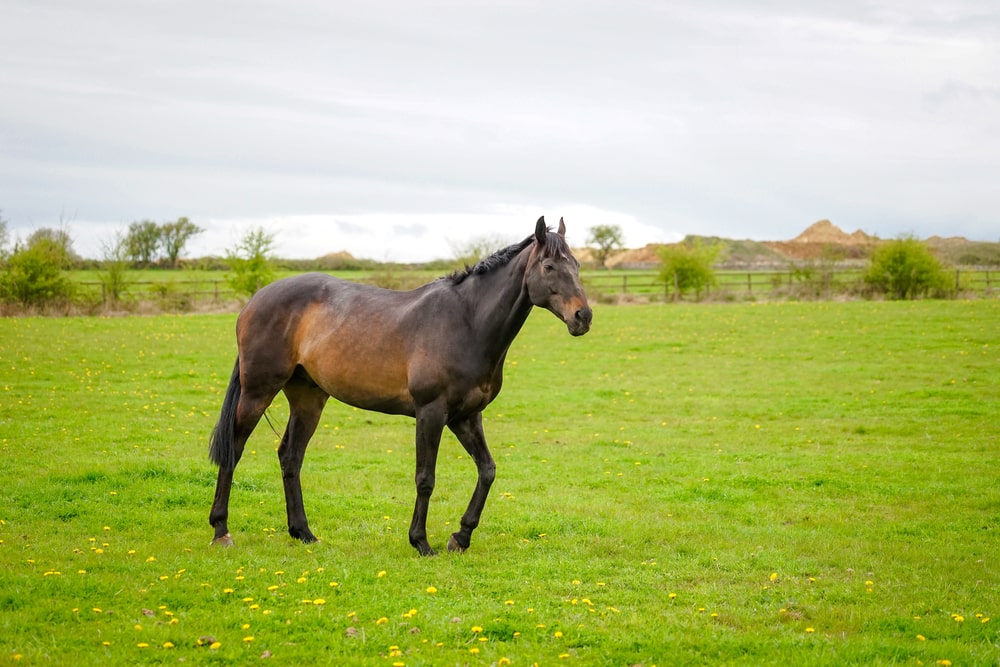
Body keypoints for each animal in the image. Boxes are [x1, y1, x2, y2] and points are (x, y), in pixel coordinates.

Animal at [208, 216, 592, 556]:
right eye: (548, 267)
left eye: (575, 265)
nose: (583, 316)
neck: (467, 322)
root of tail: (254, 301)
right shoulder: (431, 413)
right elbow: (426, 478)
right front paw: (421, 542)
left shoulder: (466, 417)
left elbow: (488, 471)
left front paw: (460, 536)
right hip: (258, 392)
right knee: (235, 449)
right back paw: (221, 530)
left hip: (308, 398)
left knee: (290, 456)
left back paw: (303, 533)